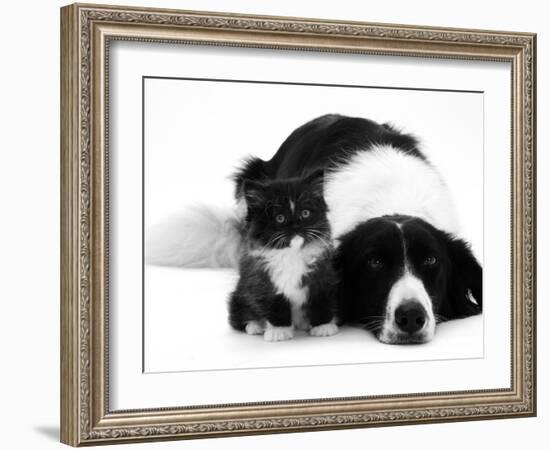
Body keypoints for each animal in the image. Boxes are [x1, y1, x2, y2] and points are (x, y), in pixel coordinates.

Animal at [229, 171, 340, 342]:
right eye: (280, 218)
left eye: (305, 213)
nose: (296, 226)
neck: (291, 254)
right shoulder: (262, 281)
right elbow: (275, 304)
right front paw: (279, 331)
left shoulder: (322, 276)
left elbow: (320, 300)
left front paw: (323, 326)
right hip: (239, 294)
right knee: (239, 316)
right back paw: (255, 326)